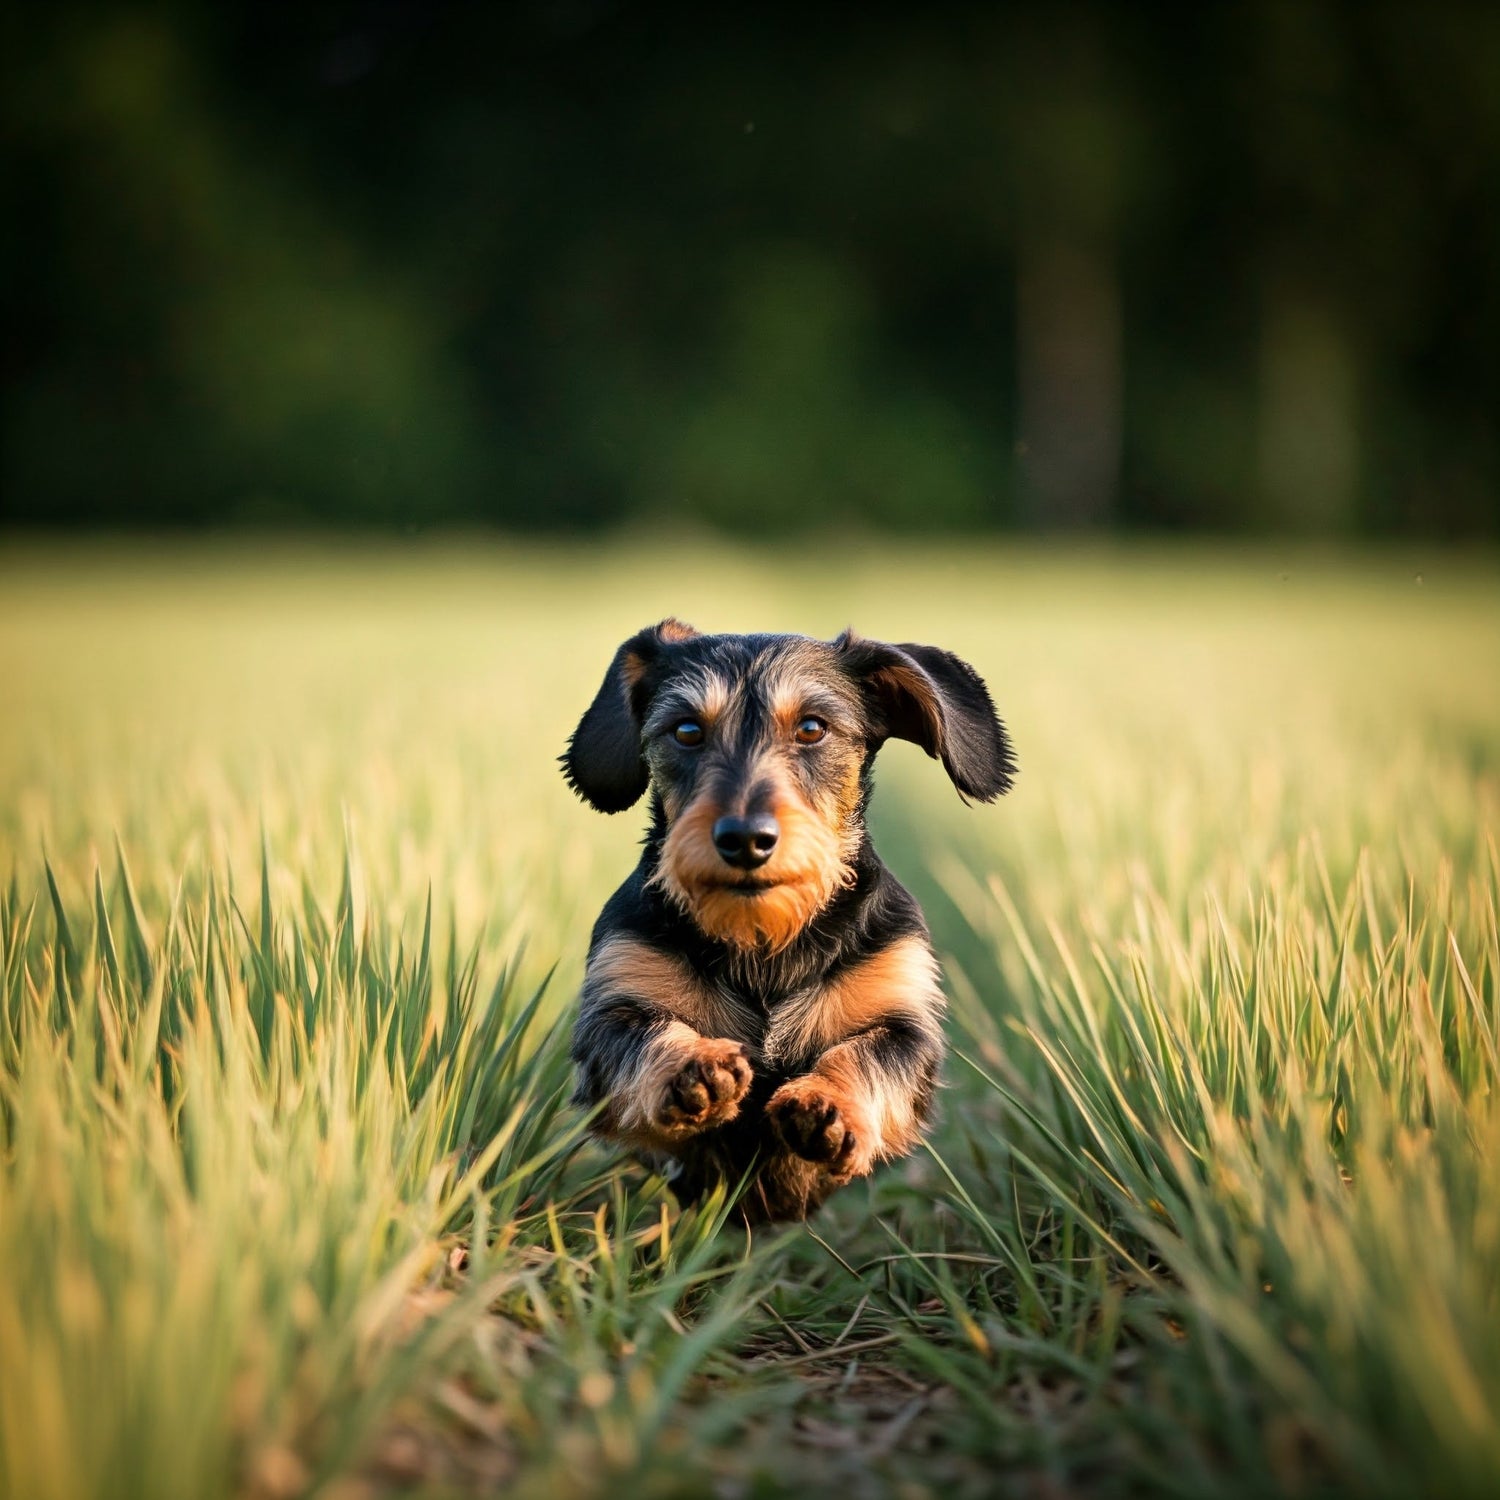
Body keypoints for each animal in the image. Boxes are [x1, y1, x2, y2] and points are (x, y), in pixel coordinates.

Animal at [564, 618, 1020, 1218]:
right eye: (686, 731)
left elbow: (868, 1054)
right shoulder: (611, 1011)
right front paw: (693, 1066)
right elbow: (642, 1034)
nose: (745, 839)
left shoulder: (905, 1023)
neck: (763, 938)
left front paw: (826, 1107)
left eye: (811, 728)